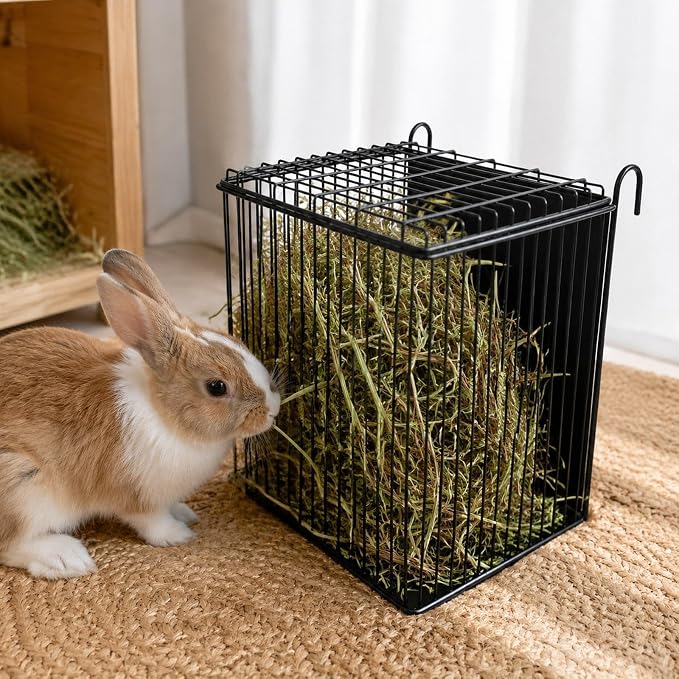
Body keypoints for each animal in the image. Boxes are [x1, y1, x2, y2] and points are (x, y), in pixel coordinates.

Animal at [0, 248, 280, 579]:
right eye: (217, 387)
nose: (273, 409)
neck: (164, 414)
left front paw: (185, 514)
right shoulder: (138, 496)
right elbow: (152, 522)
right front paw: (179, 534)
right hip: (23, 489)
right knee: (11, 544)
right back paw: (66, 558)